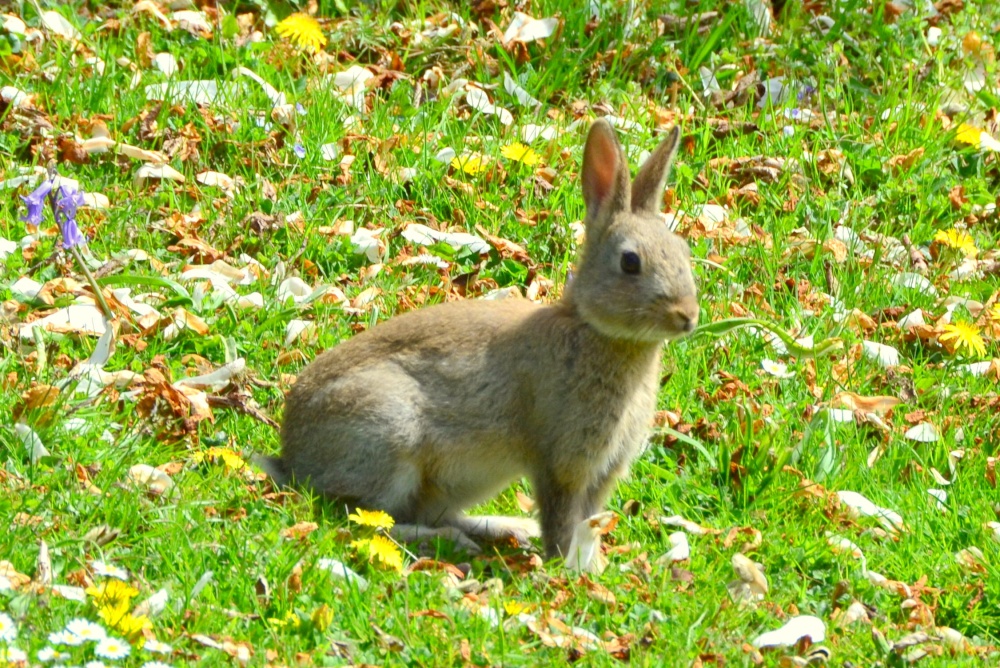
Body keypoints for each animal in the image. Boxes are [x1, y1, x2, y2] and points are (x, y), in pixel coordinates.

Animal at [258, 119, 699, 560]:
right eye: (630, 262)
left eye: (682, 251)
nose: (687, 316)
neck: (598, 332)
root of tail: (292, 456)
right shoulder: (562, 462)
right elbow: (562, 519)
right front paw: (563, 566)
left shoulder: (603, 470)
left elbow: (588, 523)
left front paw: (591, 567)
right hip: (389, 434)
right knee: (361, 518)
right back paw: (450, 541)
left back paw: (505, 528)